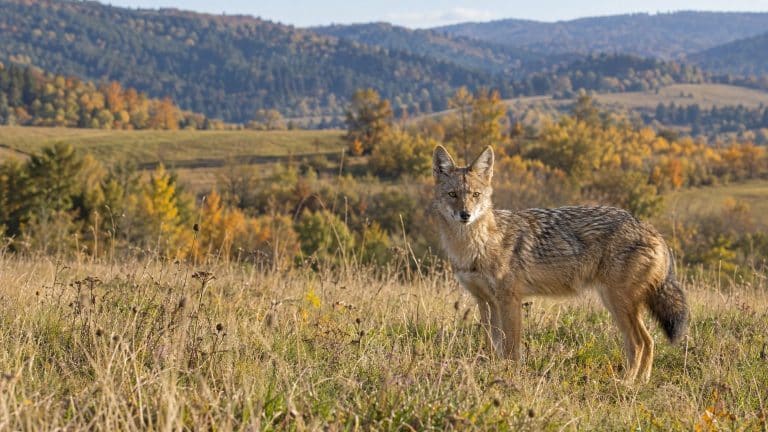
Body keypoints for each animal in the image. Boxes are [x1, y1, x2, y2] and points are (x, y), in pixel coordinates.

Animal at [431, 145, 689, 383]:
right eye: (453, 194)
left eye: (475, 195)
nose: (465, 215)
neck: (476, 246)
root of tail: (651, 229)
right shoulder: (485, 301)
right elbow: (492, 344)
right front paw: (493, 371)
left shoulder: (510, 300)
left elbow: (511, 349)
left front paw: (509, 376)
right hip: (616, 303)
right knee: (649, 340)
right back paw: (641, 382)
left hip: (618, 303)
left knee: (638, 343)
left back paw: (625, 383)